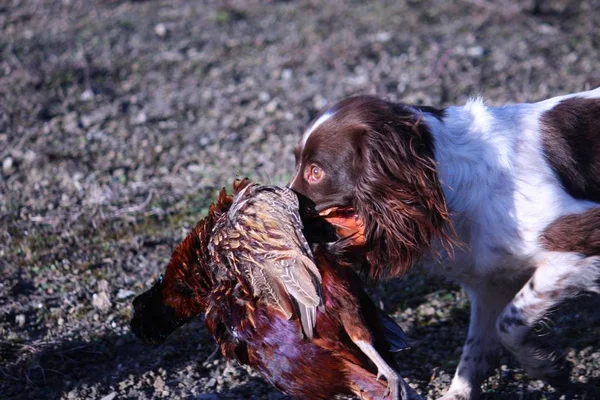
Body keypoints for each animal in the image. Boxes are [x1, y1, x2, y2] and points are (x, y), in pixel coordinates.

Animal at [290, 88, 600, 400]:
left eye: (315, 172)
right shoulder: (491, 282)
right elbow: (478, 344)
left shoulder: (578, 243)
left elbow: (508, 324)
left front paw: (547, 367)